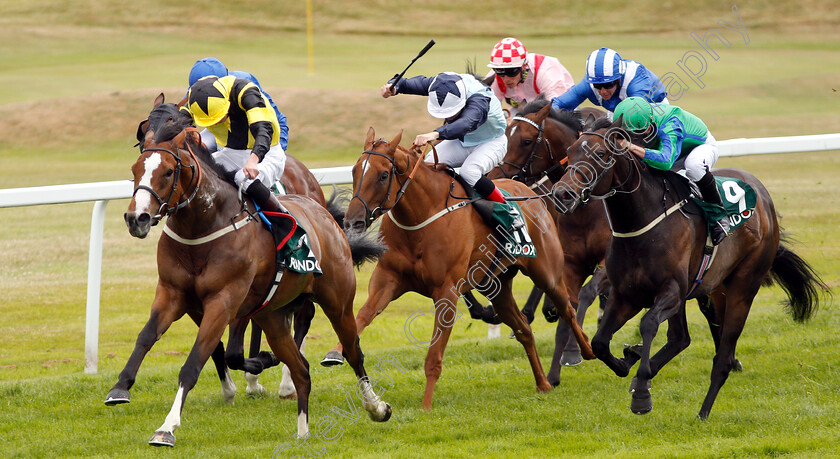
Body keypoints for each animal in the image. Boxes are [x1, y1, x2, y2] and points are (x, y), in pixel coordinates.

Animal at [107, 117, 390, 446]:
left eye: (167, 171)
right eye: (134, 170)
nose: (136, 218)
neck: (203, 228)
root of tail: (323, 213)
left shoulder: (224, 299)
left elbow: (195, 361)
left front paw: (167, 427)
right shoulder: (172, 294)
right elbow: (147, 337)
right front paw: (120, 388)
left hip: (338, 303)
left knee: (352, 351)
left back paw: (376, 407)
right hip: (272, 316)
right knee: (302, 369)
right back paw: (303, 430)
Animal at [324, 127, 596, 412]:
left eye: (383, 175)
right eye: (355, 171)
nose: (352, 221)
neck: (422, 217)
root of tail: (531, 195)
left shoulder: (446, 291)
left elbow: (434, 357)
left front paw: (426, 406)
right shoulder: (387, 279)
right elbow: (363, 315)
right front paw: (335, 352)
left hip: (547, 273)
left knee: (567, 309)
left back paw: (587, 350)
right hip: (497, 287)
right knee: (524, 329)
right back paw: (542, 383)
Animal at [552, 117, 828, 418]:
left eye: (601, 154)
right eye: (570, 152)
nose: (562, 193)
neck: (642, 224)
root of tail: (763, 197)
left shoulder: (671, 290)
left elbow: (648, 324)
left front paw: (642, 394)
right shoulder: (626, 294)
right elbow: (600, 343)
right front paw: (629, 362)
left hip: (742, 287)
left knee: (721, 358)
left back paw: (703, 413)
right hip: (713, 289)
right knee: (681, 338)